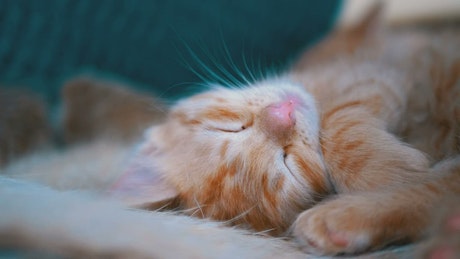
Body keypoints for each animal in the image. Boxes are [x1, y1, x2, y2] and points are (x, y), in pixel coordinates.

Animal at [109, 5, 458, 256]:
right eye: (289, 162)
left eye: (230, 128)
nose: (283, 114)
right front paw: (391, 179)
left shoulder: (379, 71)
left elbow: (338, 123)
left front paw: (385, 172)